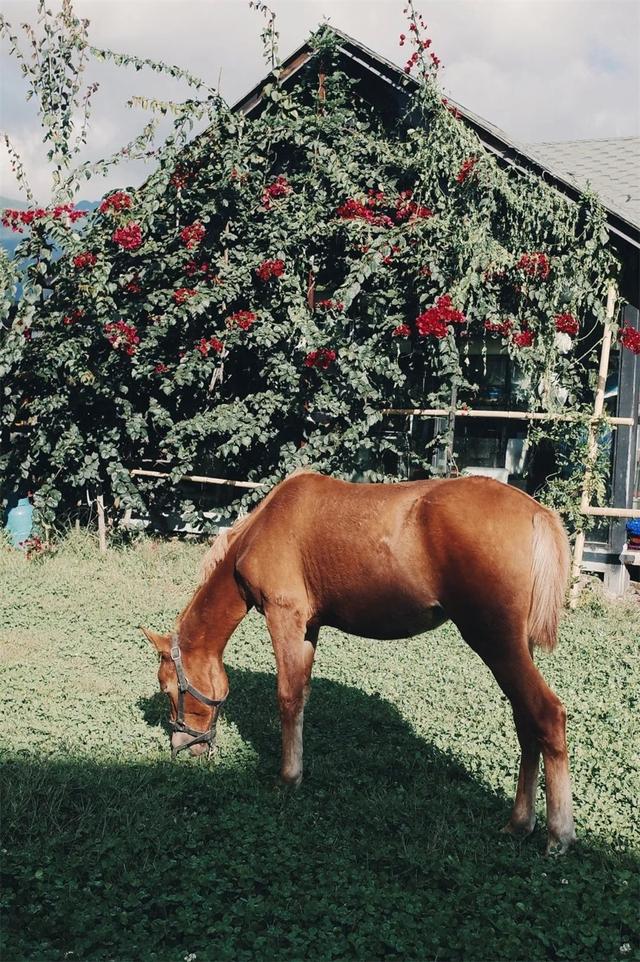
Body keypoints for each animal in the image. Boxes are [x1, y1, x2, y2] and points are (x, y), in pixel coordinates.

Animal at [141, 468, 576, 852]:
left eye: (169, 689)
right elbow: (301, 697)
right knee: (525, 722)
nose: (183, 746)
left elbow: (286, 698)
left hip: (494, 641)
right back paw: (519, 823)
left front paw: (287, 779)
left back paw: (559, 835)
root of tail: (535, 511)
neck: (263, 527)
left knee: (546, 714)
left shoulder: (284, 617)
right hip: (515, 647)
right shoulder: (308, 628)